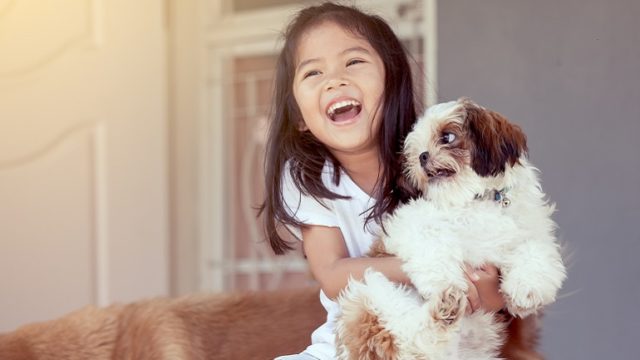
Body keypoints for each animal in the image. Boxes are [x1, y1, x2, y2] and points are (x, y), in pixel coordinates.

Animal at [336, 98, 564, 360]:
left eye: (447, 137)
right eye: (416, 150)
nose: (422, 156)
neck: (477, 199)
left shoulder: (531, 232)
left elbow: (535, 251)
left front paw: (527, 290)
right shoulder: (412, 223)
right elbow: (433, 244)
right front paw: (444, 281)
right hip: (370, 293)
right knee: (412, 336)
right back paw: (445, 304)